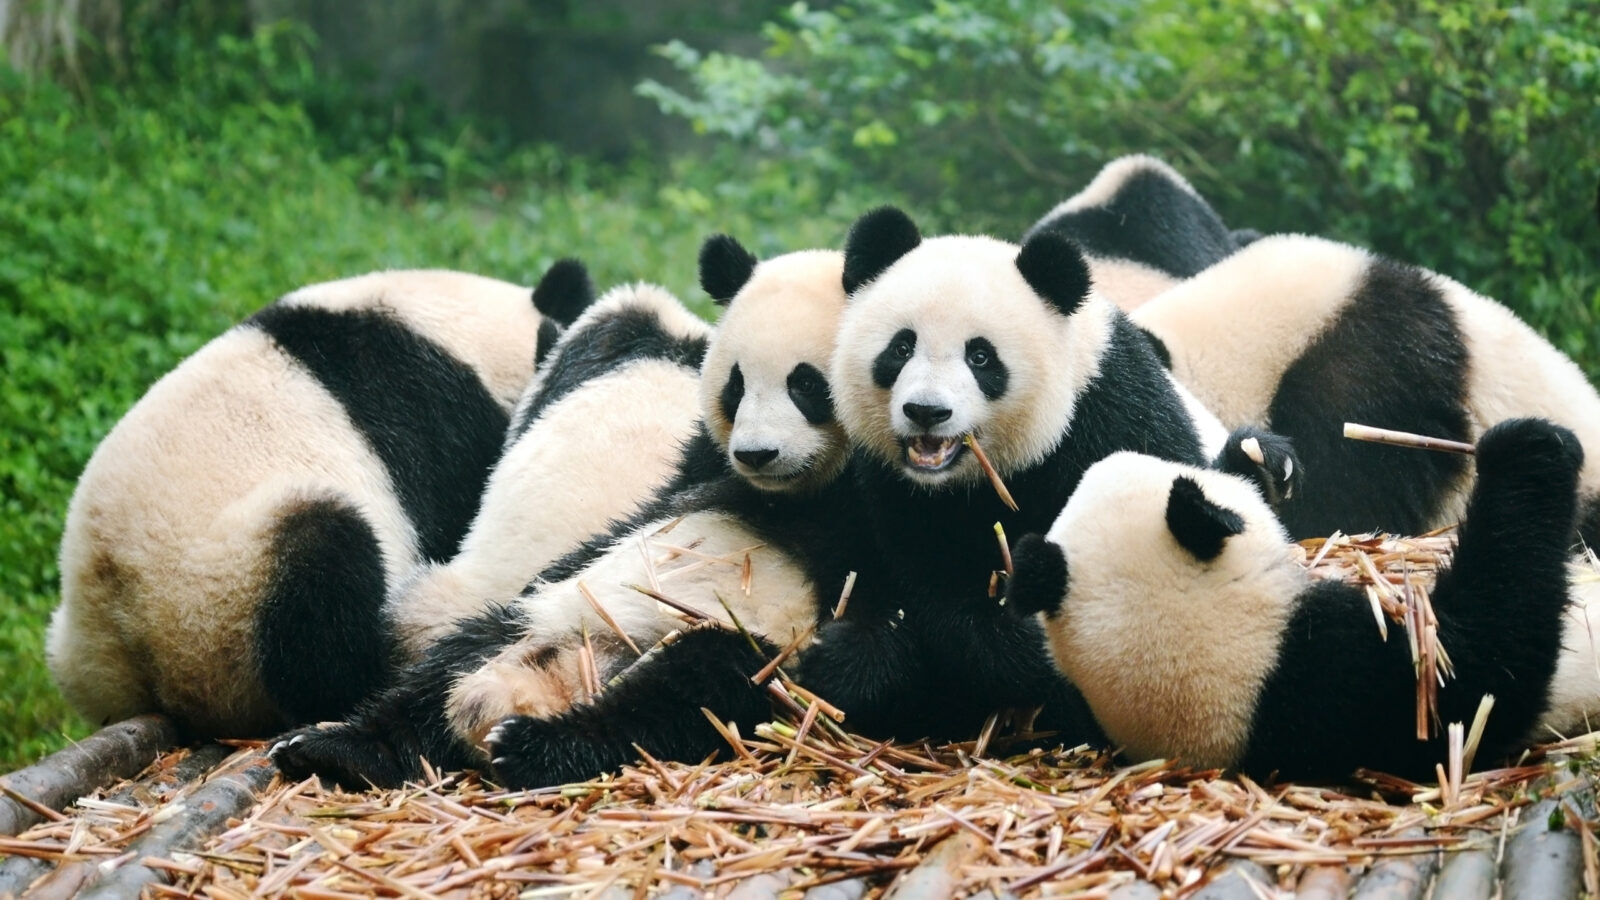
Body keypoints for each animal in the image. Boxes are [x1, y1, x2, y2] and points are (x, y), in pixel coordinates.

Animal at [48, 263, 593, 738]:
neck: (456, 334)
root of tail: (134, 635)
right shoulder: (442, 427)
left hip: (87, 645)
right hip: (221, 587)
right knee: (322, 576)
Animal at [792, 206, 1283, 741]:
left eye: (980, 356)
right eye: (901, 348)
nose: (927, 411)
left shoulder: (1110, 412)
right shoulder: (891, 489)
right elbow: (934, 589)